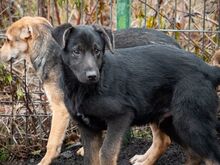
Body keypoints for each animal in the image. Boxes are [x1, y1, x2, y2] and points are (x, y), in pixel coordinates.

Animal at [52, 24, 219, 165]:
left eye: (97, 51)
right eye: (76, 51)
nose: (92, 76)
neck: (84, 89)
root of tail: (208, 69)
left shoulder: (120, 116)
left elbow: (106, 153)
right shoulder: (88, 129)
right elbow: (91, 158)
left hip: (190, 121)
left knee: (211, 157)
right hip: (169, 121)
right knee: (193, 154)